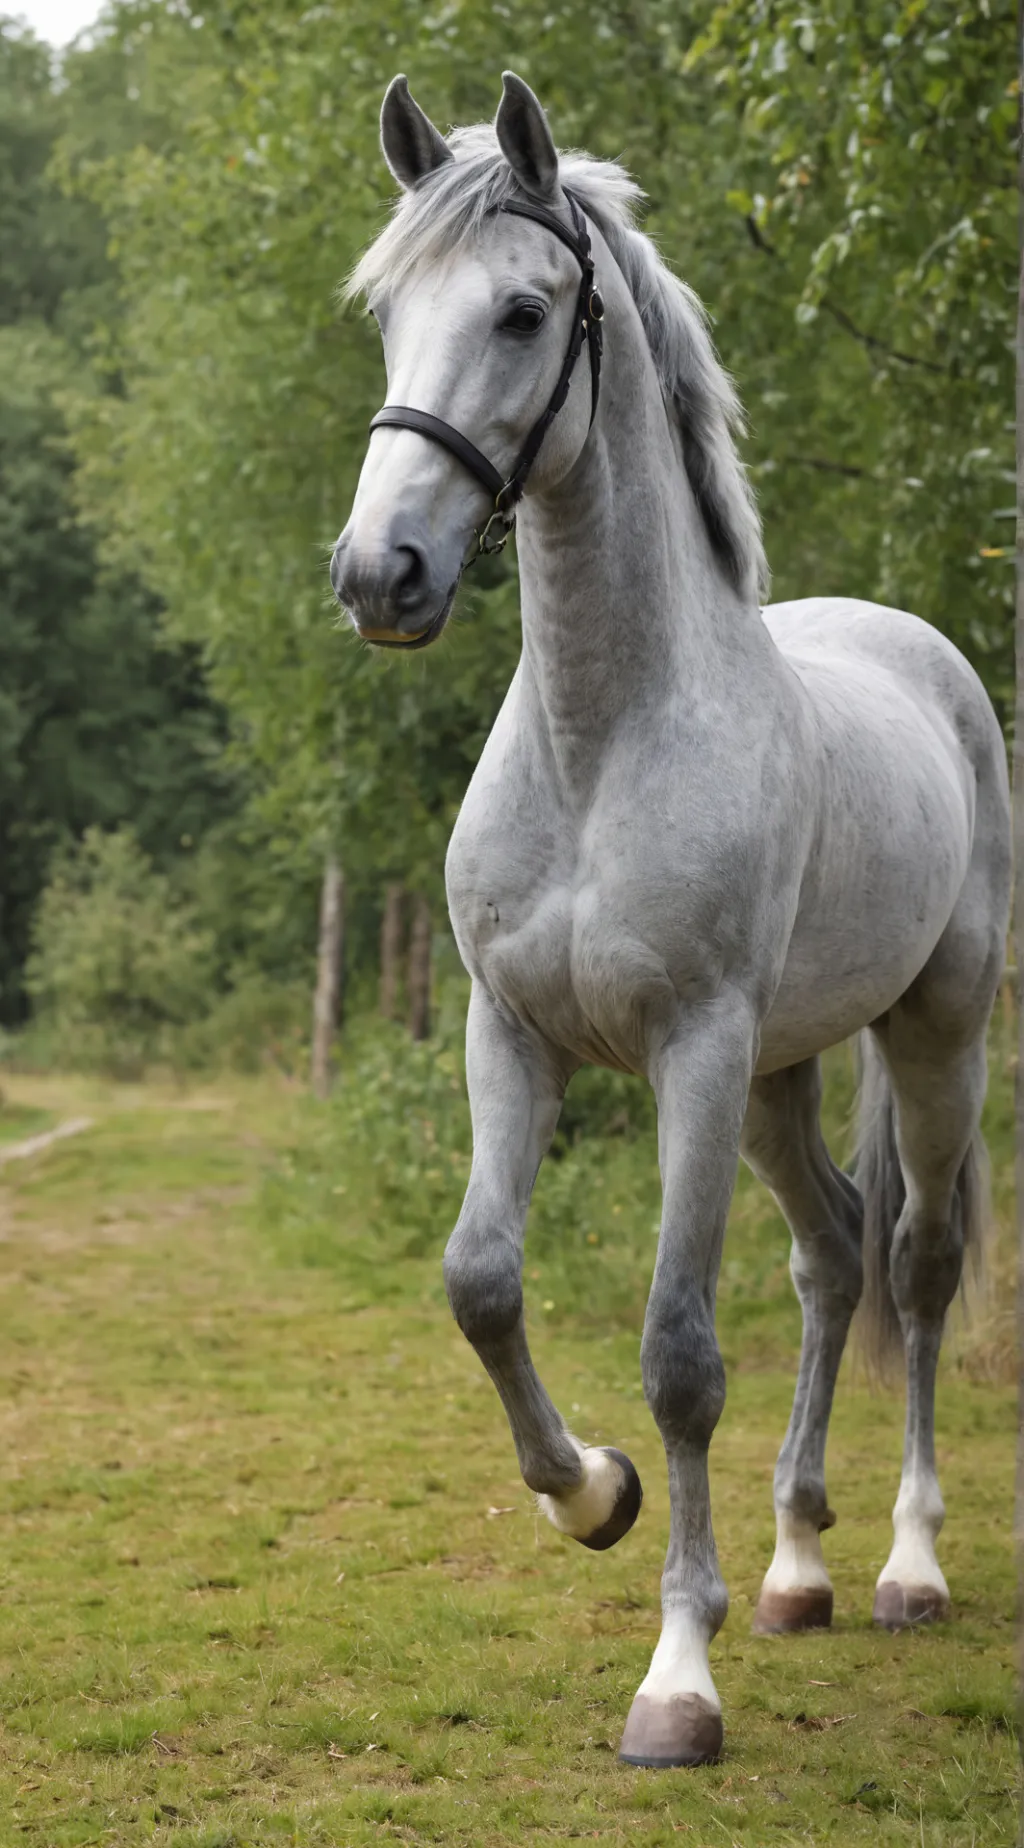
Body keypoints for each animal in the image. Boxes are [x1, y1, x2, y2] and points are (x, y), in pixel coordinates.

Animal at [330, 71, 1010, 1769]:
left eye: (520, 312)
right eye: (388, 315)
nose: (381, 575)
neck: (604, 736)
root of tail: (920, 654)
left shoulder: (690, 1054)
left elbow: (681, 1355)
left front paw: (678, 1683)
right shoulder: (512, 1037)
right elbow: (481, 1281)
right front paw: (592, 1498)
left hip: (930, 1037)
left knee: (915, 1262)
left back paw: (902, 1566)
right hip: (779, 1076)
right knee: (832, 1255)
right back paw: (795, 1569)